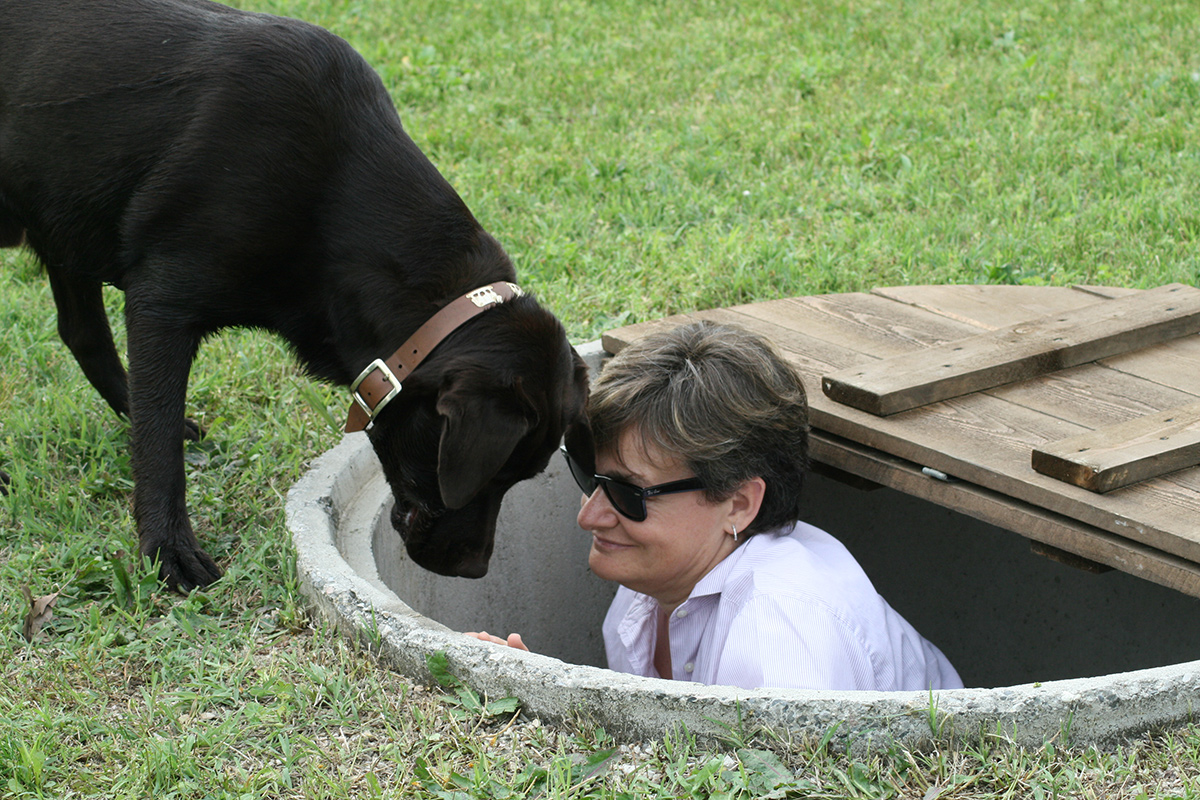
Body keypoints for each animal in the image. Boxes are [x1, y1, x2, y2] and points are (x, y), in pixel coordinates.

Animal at [0, 0, 590, 587]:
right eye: (493, 475)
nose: (474, 571)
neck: (335, 200)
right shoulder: (161, 303)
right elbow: (158, 438)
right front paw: (168, 549)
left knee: (80, 332)